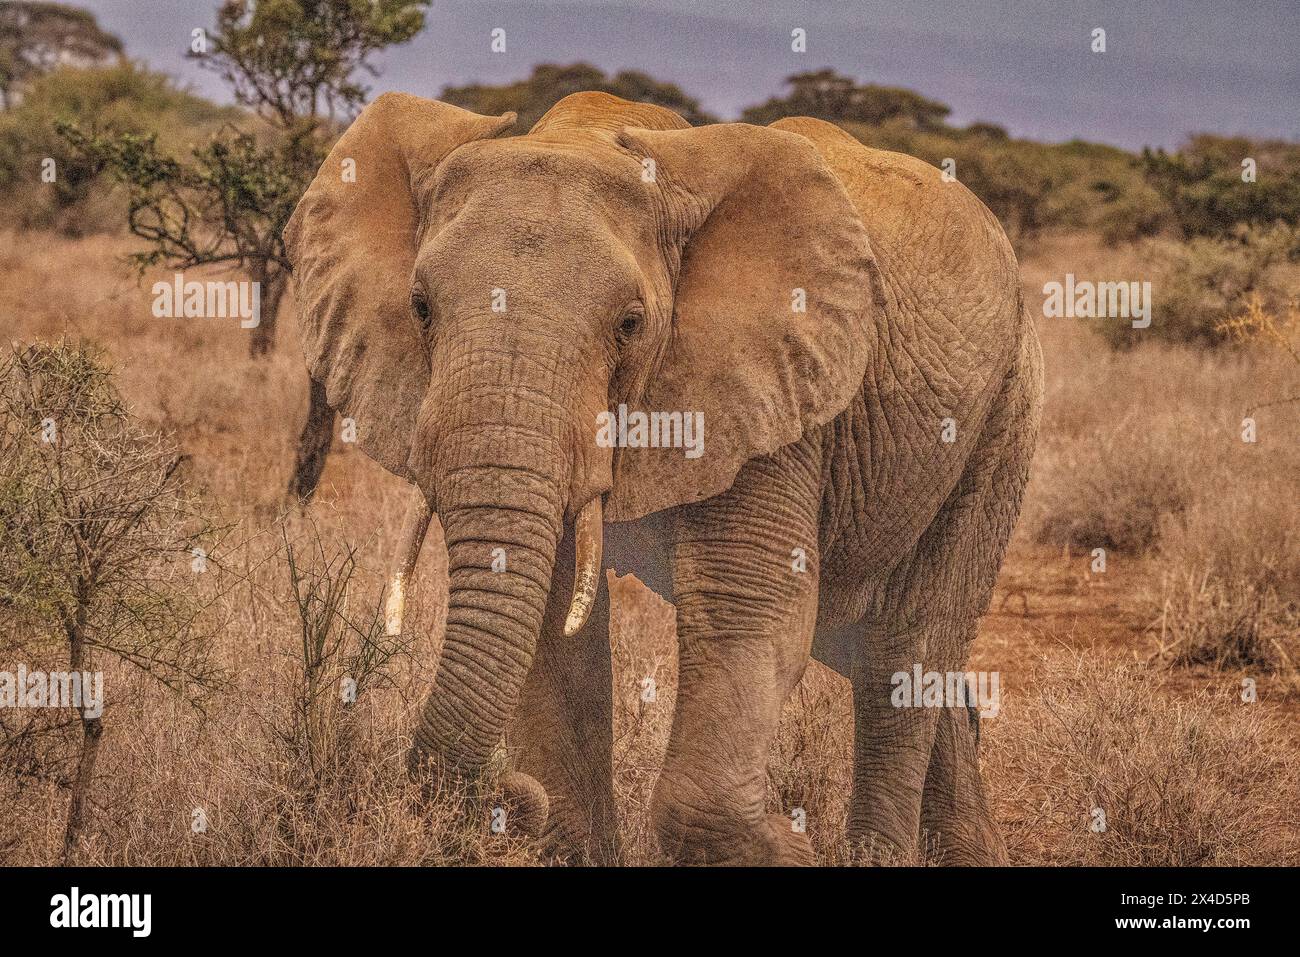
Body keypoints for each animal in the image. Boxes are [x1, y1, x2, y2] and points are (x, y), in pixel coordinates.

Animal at [287, 91, 1045, 868]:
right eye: (420, 308)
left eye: (630, 324)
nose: (512, 797)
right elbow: (556, 624)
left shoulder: (768, 392)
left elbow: (749, 600)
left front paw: (786, 847)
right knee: (880, 644)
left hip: (1001, 417)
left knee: (905, 644)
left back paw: (876, 853)